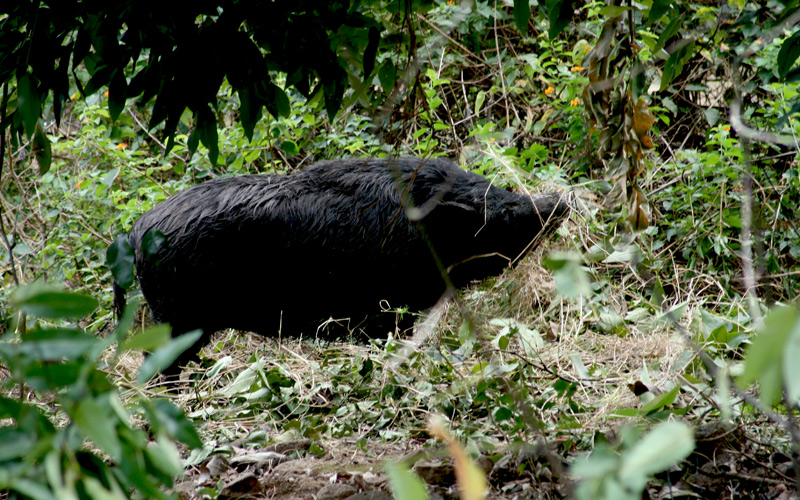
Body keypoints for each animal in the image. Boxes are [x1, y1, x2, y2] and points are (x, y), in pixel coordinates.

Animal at [119, 158, 568, 374]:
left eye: (502, 189)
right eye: (501, 213)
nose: (562, 201)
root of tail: (135, 231)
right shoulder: (386, 306)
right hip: (176, 318)